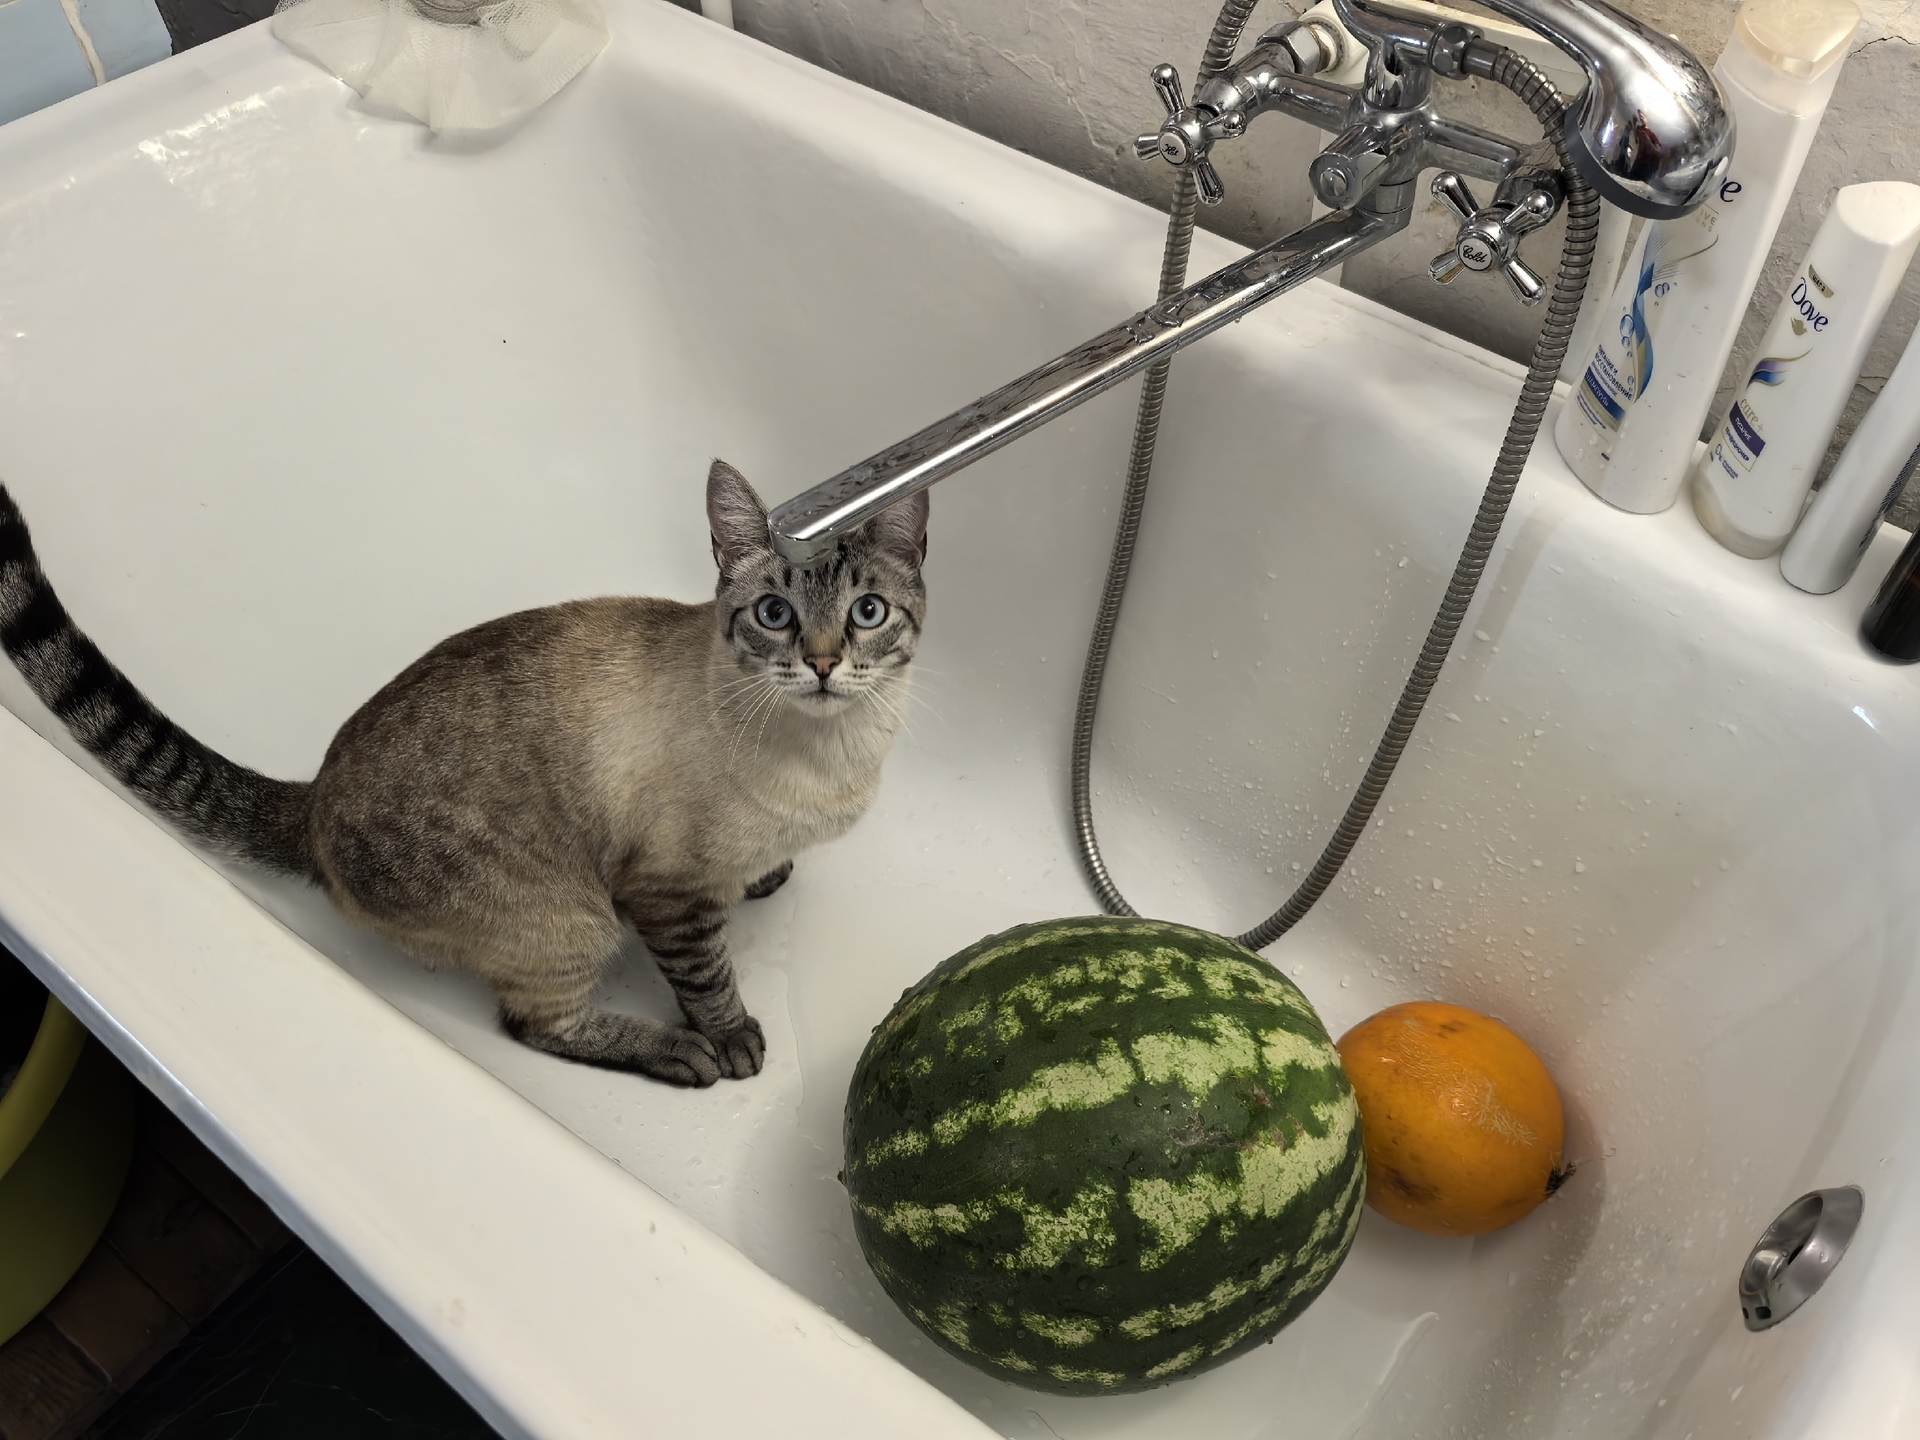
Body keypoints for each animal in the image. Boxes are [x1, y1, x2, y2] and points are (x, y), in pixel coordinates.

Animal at [0, 460, 929, 1087]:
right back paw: (679, 1053)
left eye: (867, 613)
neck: (839, 751)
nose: (822, 664)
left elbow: (756, 878)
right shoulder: (663, 892)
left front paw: (766, 879)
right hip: (574, 920)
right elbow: (707, 975)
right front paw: (731, 1037)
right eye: (775, 614)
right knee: (535, 1025)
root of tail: (312, 800)